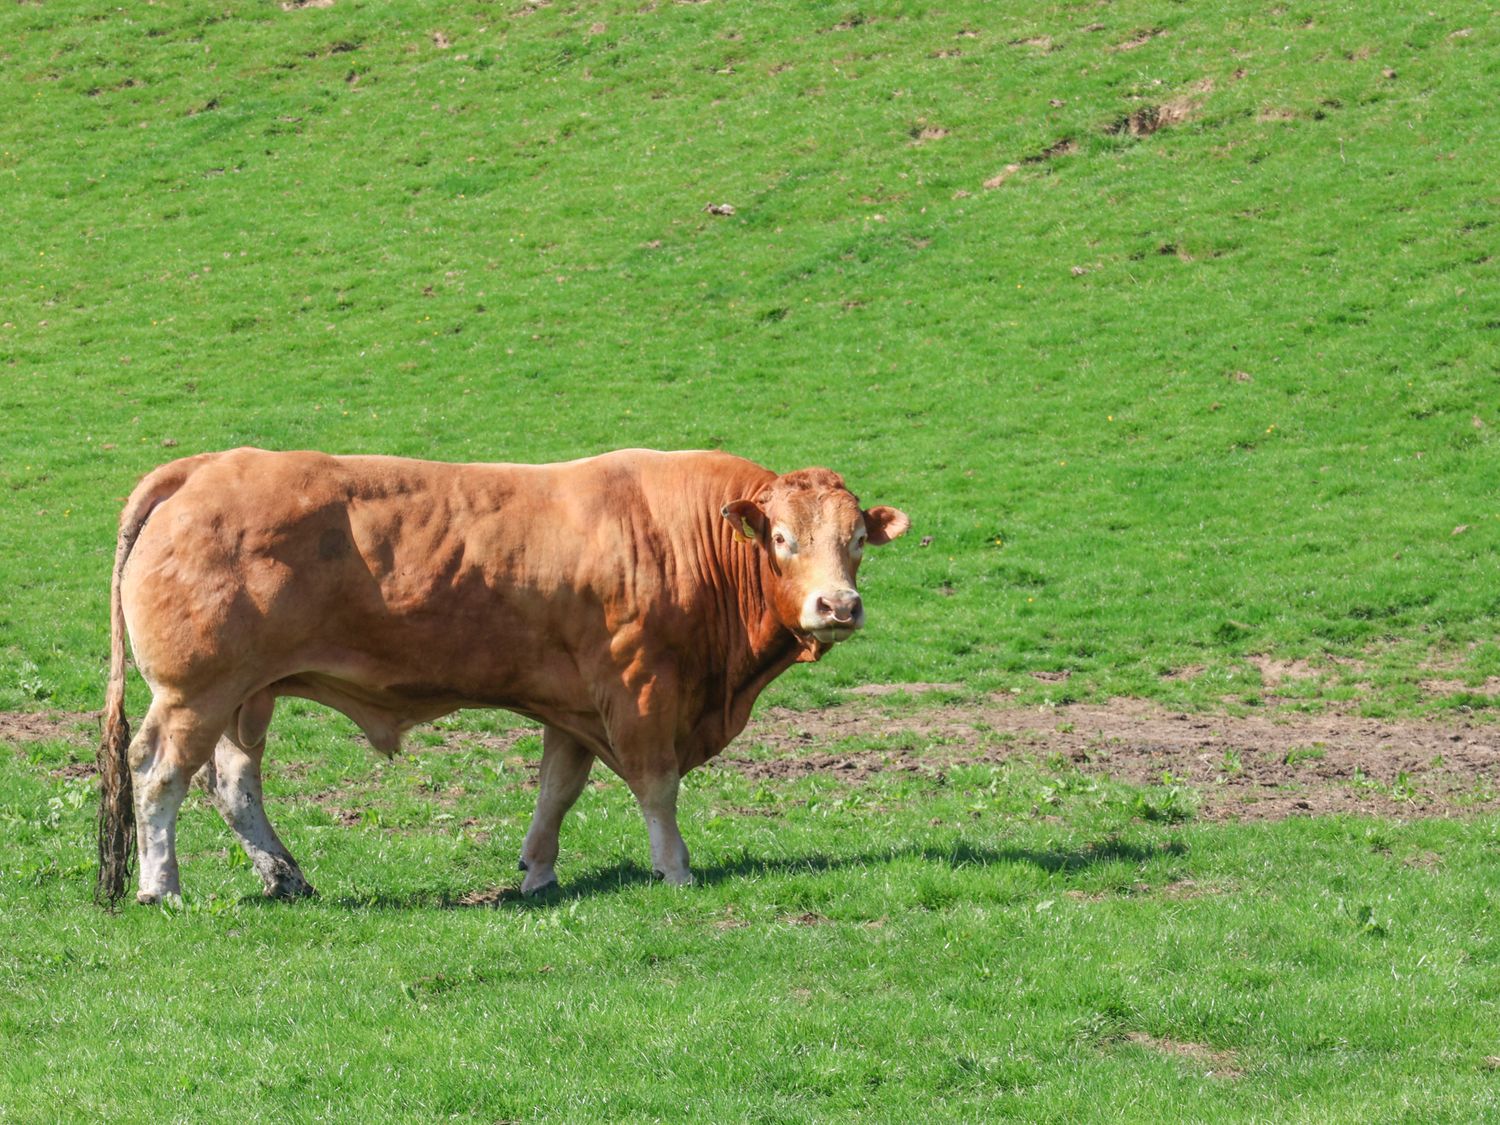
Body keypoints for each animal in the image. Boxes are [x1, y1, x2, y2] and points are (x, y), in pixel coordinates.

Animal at [99, 450, 912, 906]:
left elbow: (558, 789)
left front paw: (537, 874)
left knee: (233, 783)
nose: (838, 605)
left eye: (856, 540)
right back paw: (161, 886)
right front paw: (675, 870)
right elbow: (656, 787)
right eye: (782, 537)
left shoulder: (572, 704)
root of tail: (204, 465)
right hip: (195, 692)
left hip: (246, 695)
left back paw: (286, 878)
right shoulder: (642, 689)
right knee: (158, 774)